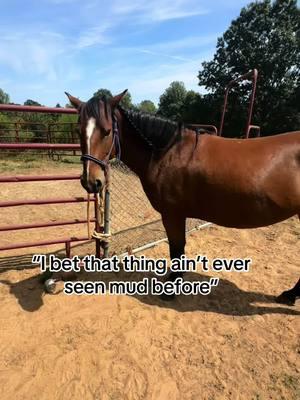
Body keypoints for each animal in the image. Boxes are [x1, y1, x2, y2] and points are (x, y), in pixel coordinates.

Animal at [65, 90, 300, 304]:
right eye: (78, 131)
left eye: (106, 131)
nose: (90, 182)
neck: (168, 152)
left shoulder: (173, 214)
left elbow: (177, 249)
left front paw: (171, 289)